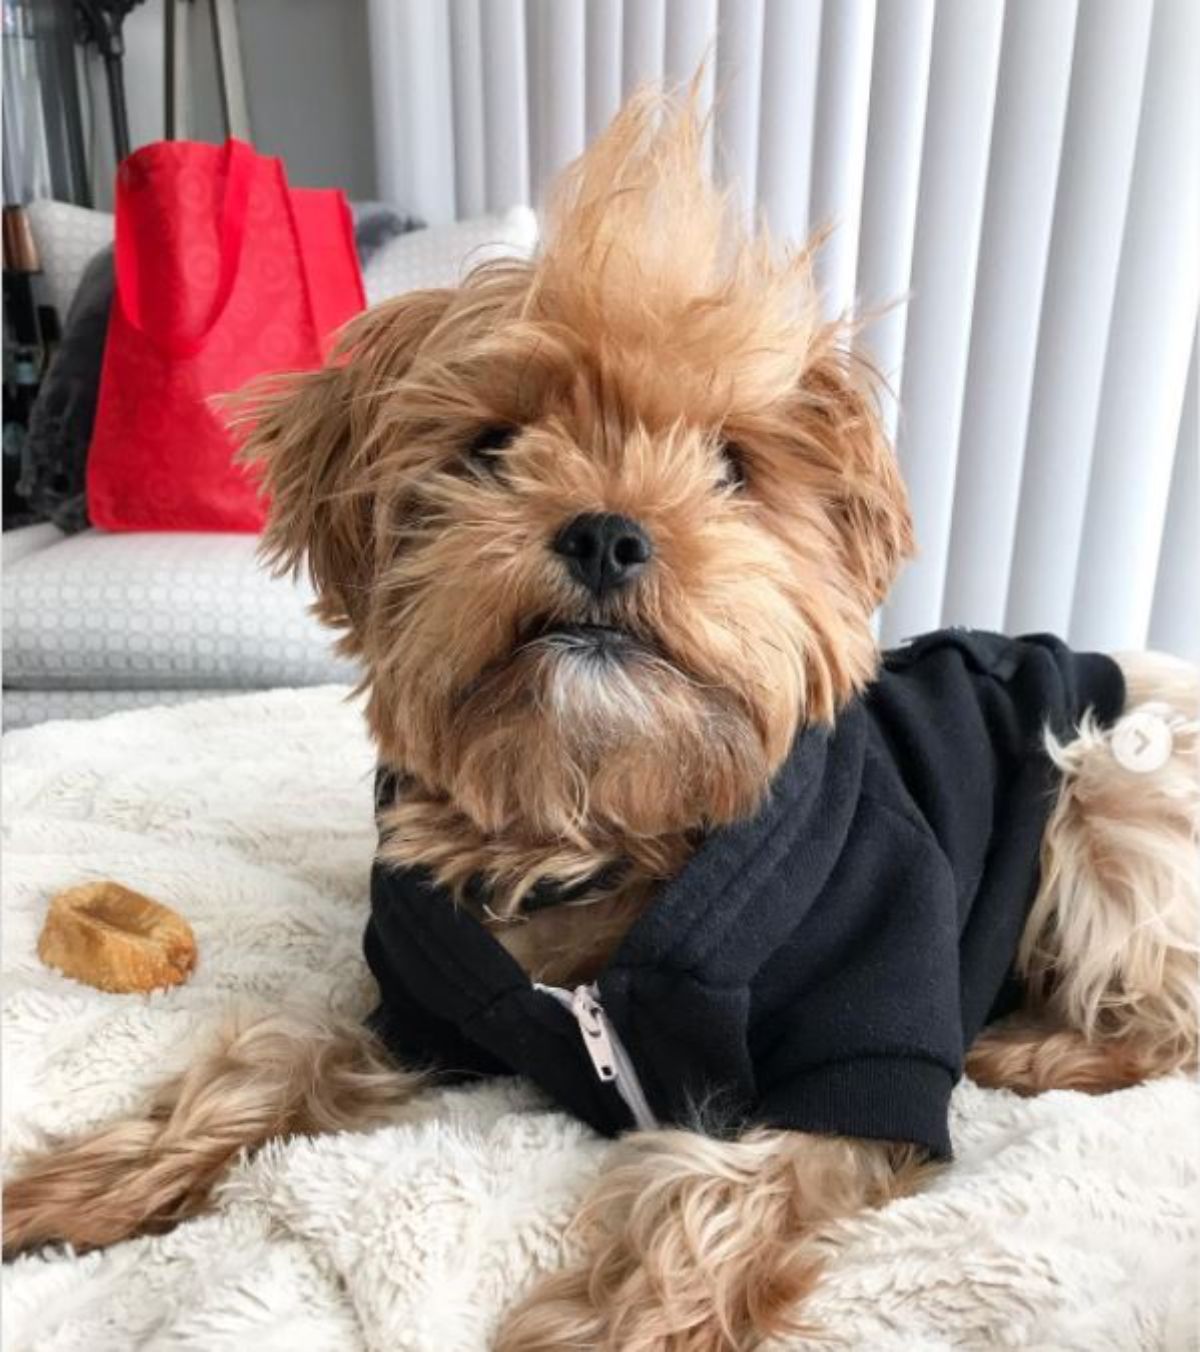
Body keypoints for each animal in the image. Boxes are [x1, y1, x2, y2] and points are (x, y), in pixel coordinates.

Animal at [4, 89, 1194, 1346]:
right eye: (491, 447)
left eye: (732, 466)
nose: (608, 531)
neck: (597, 815)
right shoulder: (413, 1020)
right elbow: (271, 1055)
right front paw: (81, 1184)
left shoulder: (863, 1062)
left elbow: (710, 1191)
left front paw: (611, 1321)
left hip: (1104, 787)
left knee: (1171, 1014)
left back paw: (1033, 1043)